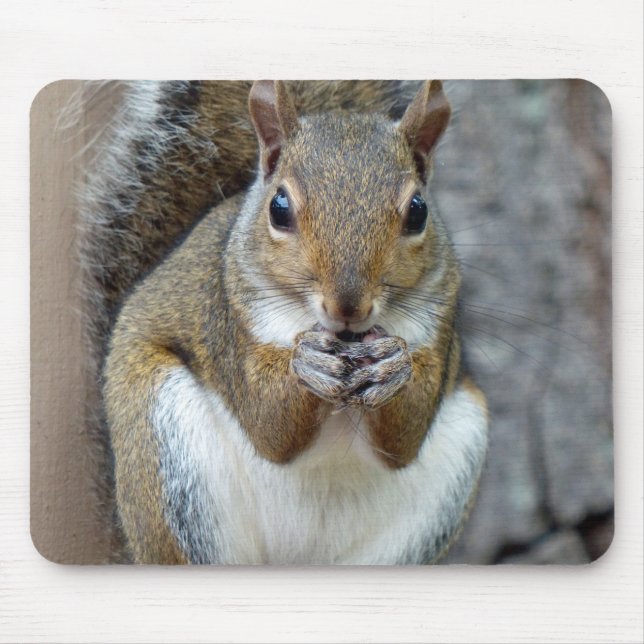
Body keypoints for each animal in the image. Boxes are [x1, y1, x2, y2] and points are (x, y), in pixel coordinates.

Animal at [80, 80, 489, 564]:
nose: (347, 306)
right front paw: (305, 365)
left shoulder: (440, 317)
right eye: (279, 208)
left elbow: (405, 439)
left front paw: (393, 368)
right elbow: (268, 423)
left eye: (419, 210)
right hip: (163, 450)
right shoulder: (227, 317)